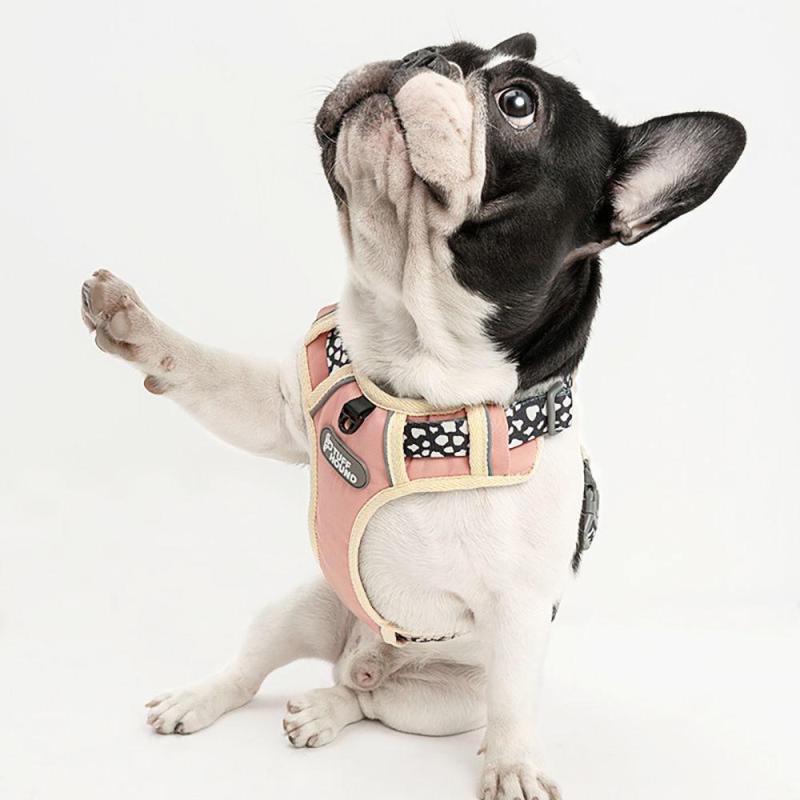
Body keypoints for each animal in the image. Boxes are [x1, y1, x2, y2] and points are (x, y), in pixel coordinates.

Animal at [80, 33, 745, 800]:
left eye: (518, 104)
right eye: (441, 44)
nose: (426, 57)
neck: (421, 372)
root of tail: (365, 655)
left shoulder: (522, 607)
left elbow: (514, 698)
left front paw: (514, 763)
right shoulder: (280, 412)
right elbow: (205, 370)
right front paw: (133, 323)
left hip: (443, 703)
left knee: (371, 700)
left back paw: (329, 708)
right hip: (304, 605)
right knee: (252, 668)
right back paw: (201, 699)